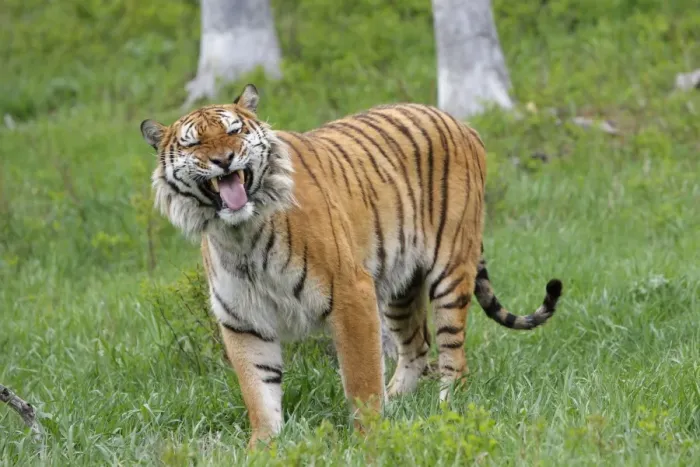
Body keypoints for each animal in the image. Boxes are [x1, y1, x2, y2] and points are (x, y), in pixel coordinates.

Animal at [139, 84, 563, 448]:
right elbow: (259, 391)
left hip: (450, 270)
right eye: (194, 143)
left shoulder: (350, 292)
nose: (223, 160)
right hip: (400, 287)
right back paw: (400, 402)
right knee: (416, 348)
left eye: (235, 130)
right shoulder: (242, 318)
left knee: (453, 356)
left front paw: (369, 438)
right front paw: (263, 446)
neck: (240, 233)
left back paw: (448, 410)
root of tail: (463, 123)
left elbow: (360, 378)